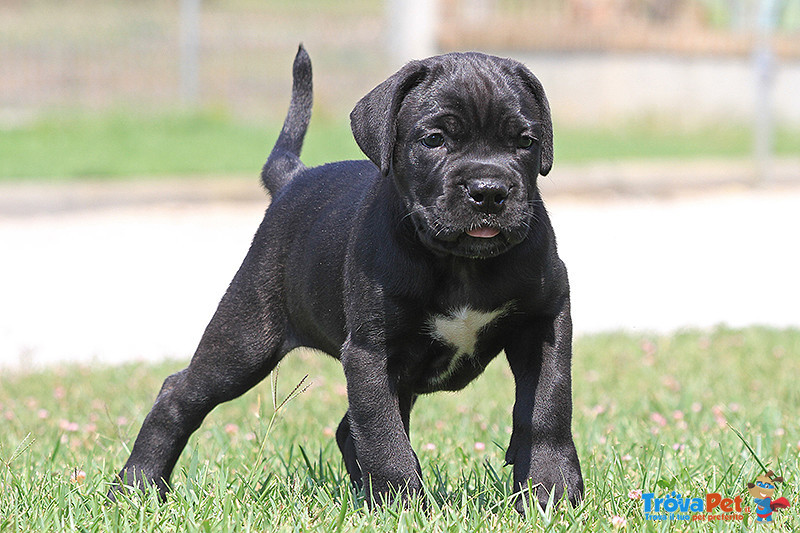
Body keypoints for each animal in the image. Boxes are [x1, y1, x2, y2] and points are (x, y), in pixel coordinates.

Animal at [112, 44, 584, 512]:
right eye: (435, 140)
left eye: (525, 141)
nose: (489, 190)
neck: (461, 263)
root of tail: (294, 178)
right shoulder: (371, 353)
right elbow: (382, 433)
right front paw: (404, 505)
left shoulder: (544, 322)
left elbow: (547, 407)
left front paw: (550, 491)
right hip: (245, 340)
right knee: (179, 394)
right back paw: (136, 486)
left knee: (347, 428)